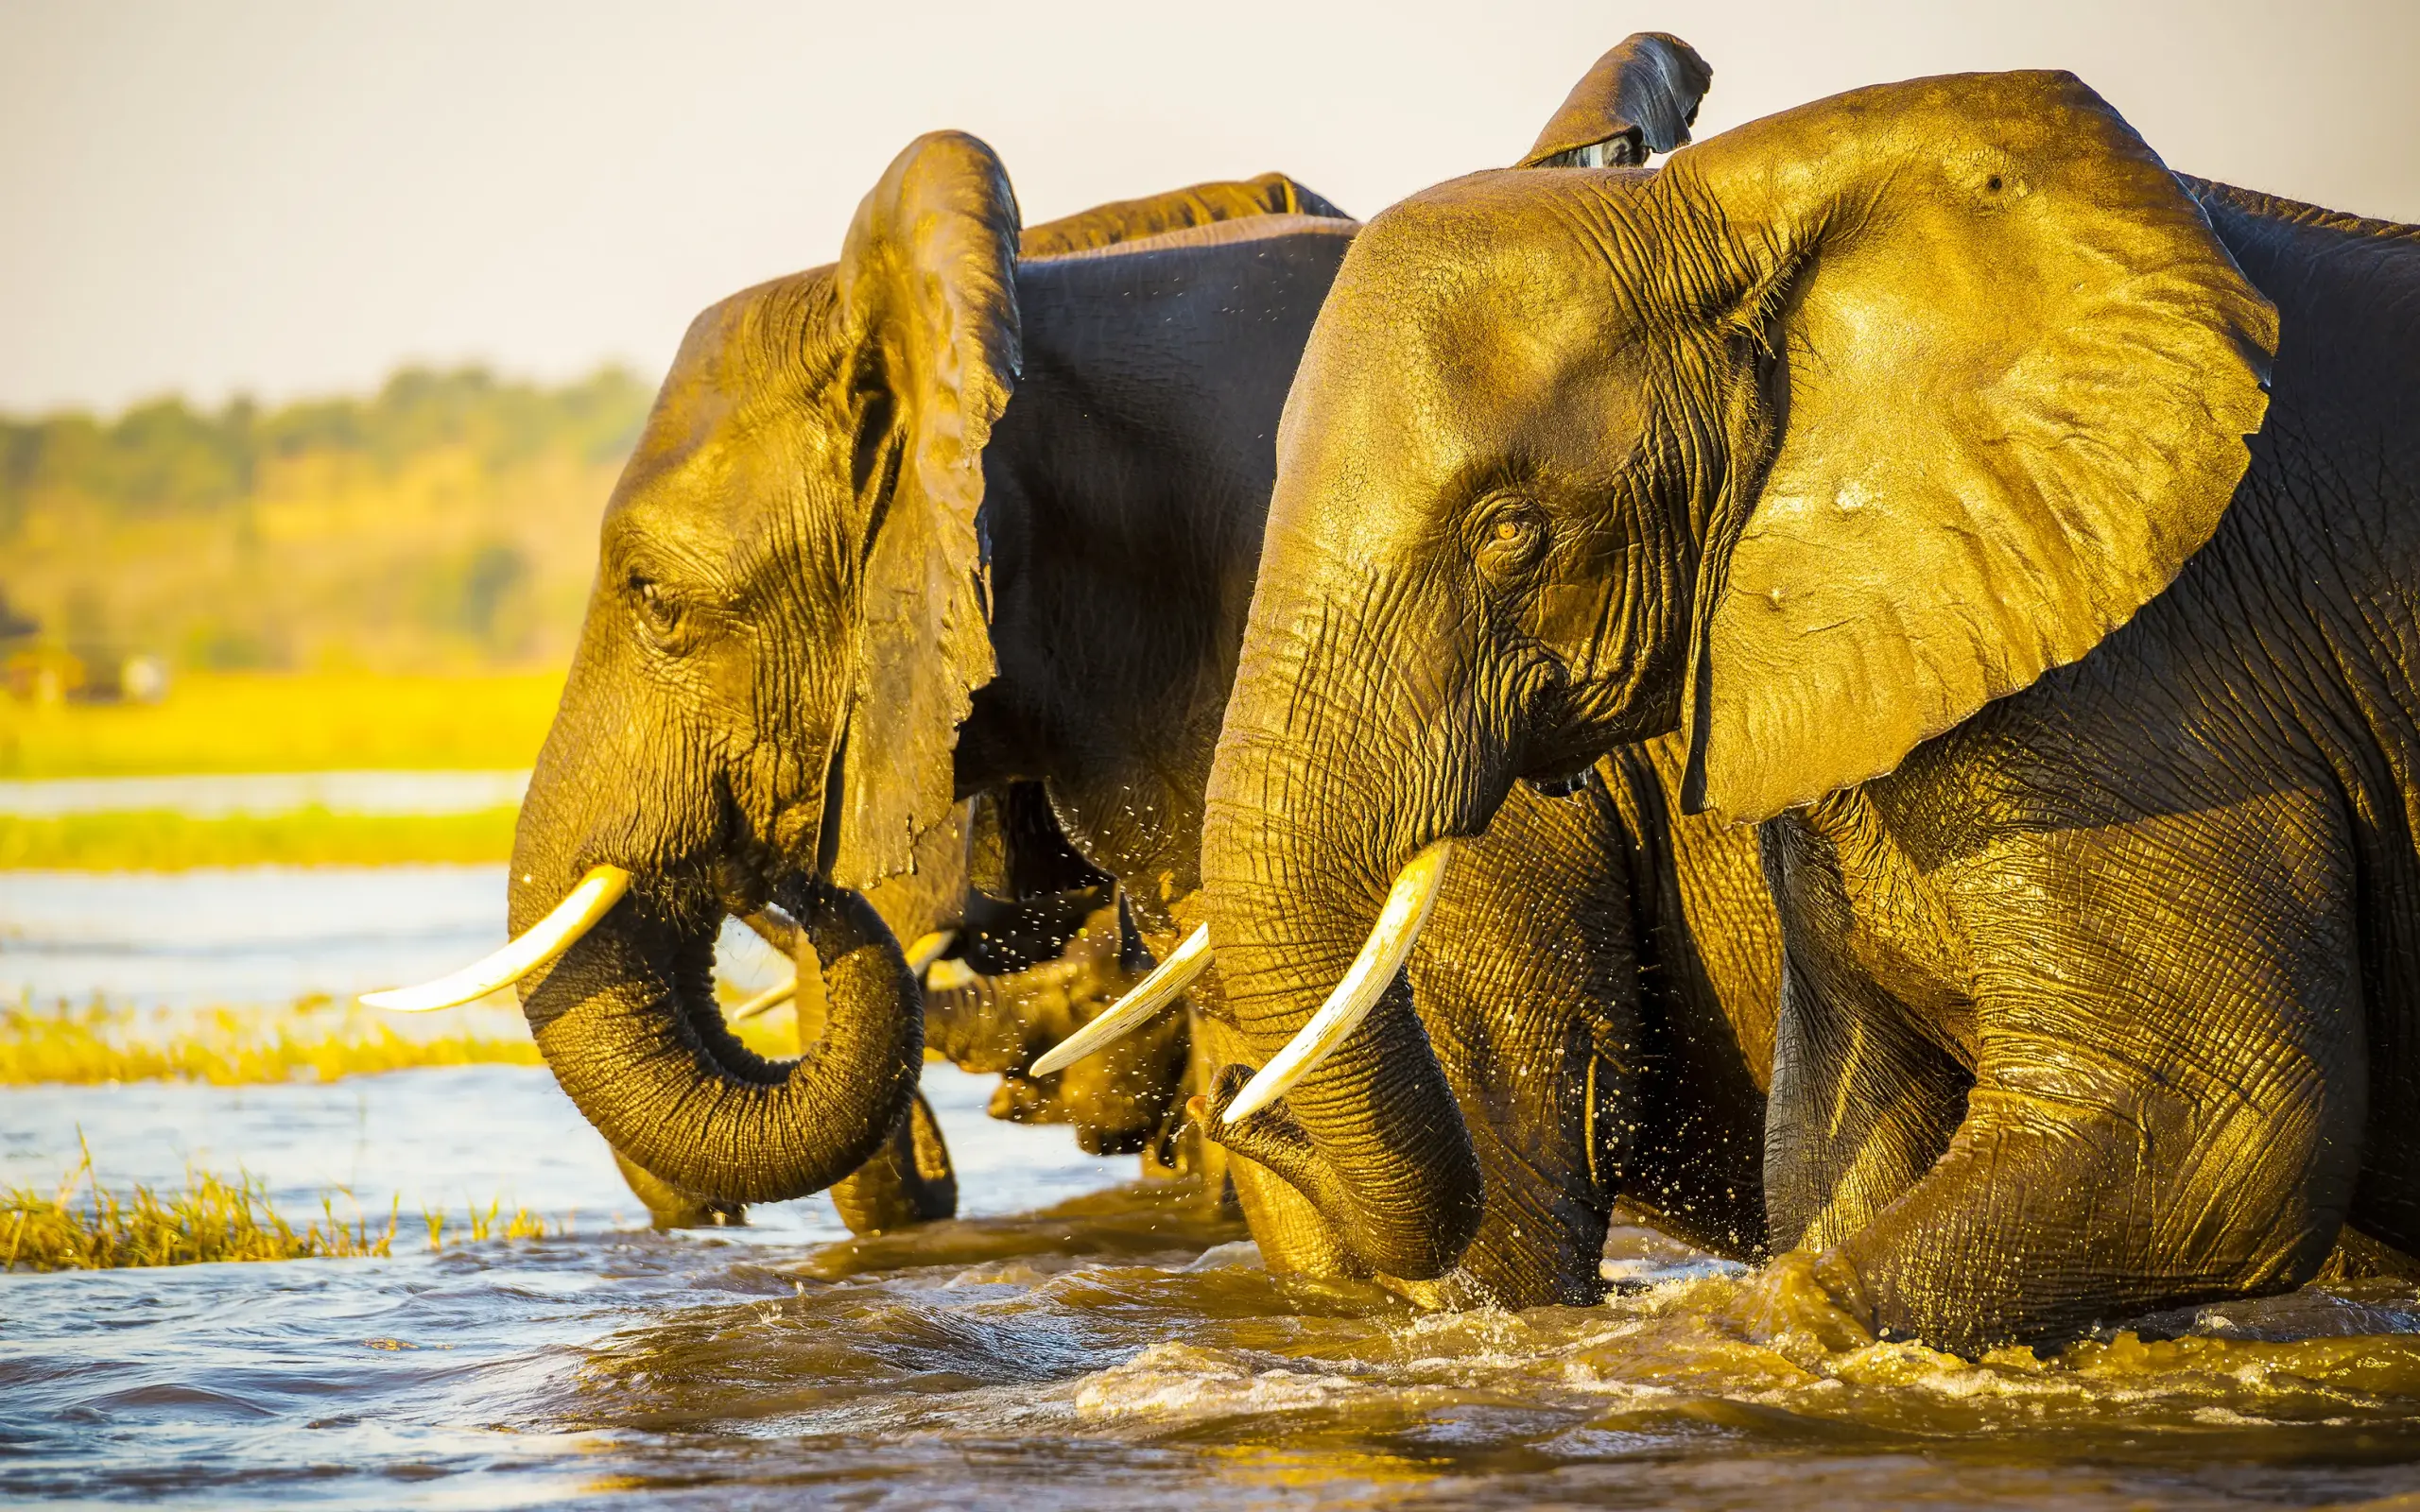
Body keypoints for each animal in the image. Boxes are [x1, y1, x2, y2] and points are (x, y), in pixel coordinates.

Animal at [1188, 66, 2420, 1353]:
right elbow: (1845, 1156)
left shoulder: (2155, 673)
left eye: (1509, 532)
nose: (1223, 1093)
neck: (1743, 197)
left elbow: (2209, 1133)